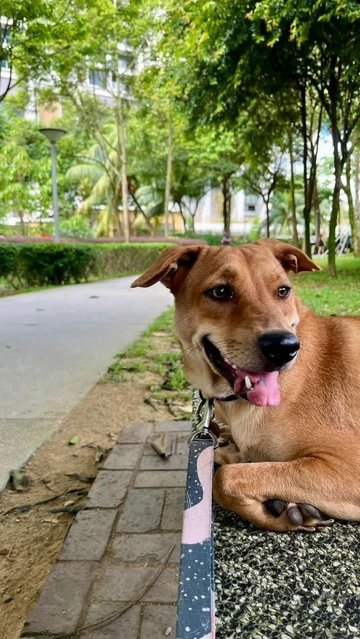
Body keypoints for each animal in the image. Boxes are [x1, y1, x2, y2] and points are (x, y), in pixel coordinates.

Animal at [131, 240, 360, 528]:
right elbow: (229, 468)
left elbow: (224, 478)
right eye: (220, 291)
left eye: (283, 291)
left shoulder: (348, 465)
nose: (284, 347)